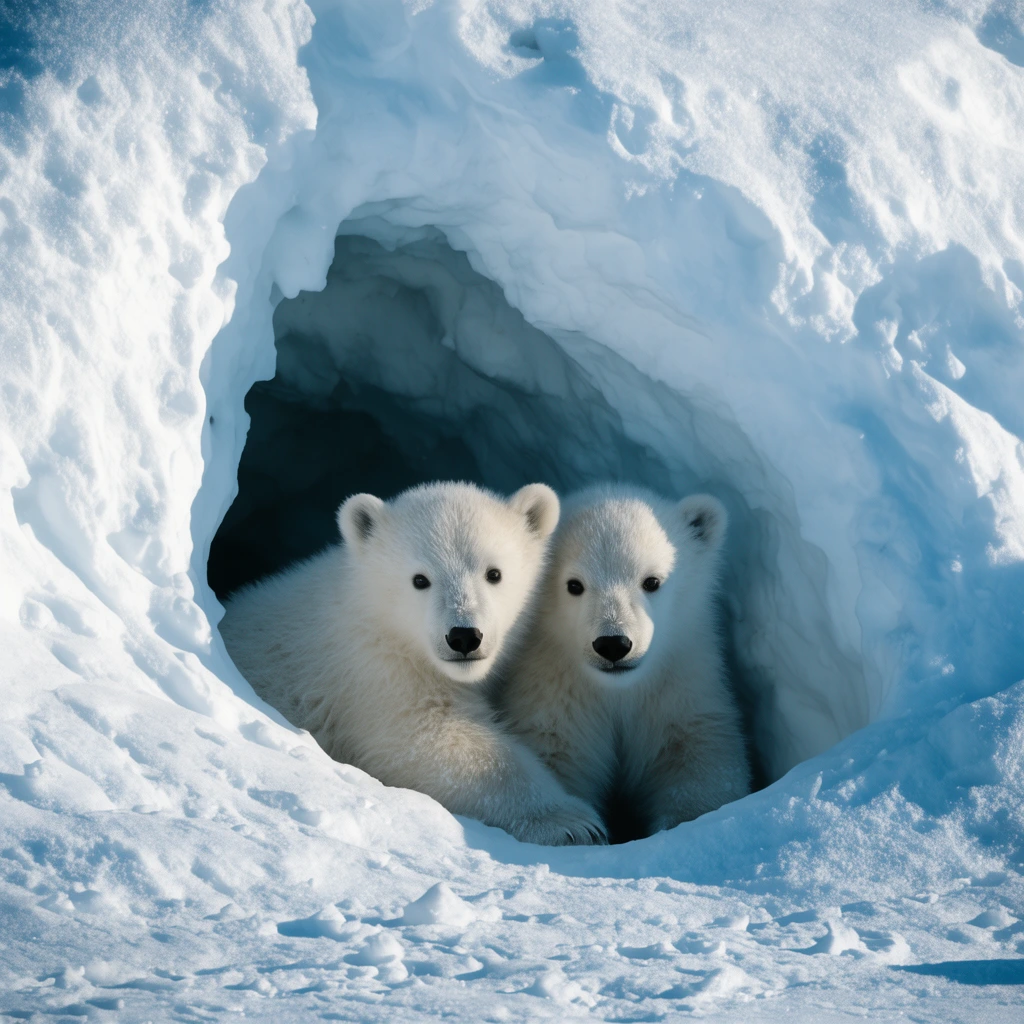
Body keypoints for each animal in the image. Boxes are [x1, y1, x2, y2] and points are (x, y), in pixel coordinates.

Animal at [219, 481, 606, 846]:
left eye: (494, 573)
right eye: (420, 579)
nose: (464, 636)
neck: (377, 612)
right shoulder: (374, 671)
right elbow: (429, 742)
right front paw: (573, 822)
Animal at [494, 484, 750, 843]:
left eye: (652, 581)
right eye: (574, 584)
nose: (613, 644)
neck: (618, 691)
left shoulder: (680, 686)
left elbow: (701, 756)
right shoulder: (555, 696)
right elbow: (558, 756)